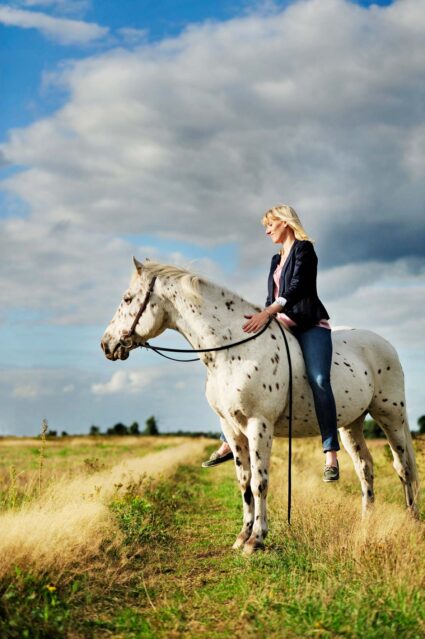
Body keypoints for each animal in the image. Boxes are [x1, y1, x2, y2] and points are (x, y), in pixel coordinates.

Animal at [101, 260, 420, 556]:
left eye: (127, 299)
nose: (106, 344)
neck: (233, 349)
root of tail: (386, 344)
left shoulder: (259, 424)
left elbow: (259, 482)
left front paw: (257, 539)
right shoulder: (231, 428)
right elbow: (243, 482)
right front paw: (242, 535)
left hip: (390, 416)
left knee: (403, 467)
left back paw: (412, 520)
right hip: (351, 424)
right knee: (365, 468)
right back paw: (367, 522)